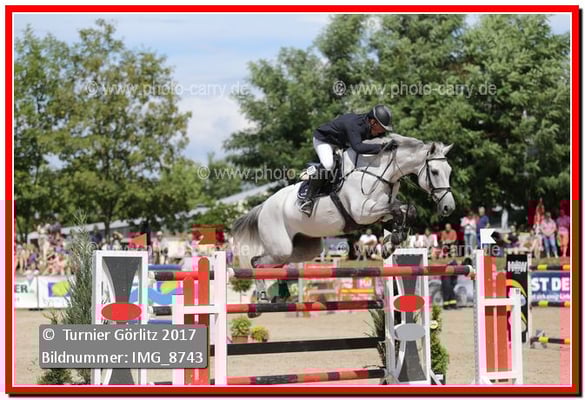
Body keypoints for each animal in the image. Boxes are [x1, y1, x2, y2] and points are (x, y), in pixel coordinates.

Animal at [232, 134, 455, 303]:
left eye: (449, 171)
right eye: (435, 171)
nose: (448, 207)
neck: (379, 172)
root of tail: (263, 207)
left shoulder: (379, 210)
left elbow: (407, 210)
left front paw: (391, 242)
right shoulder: (362, 212)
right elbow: (397, 210)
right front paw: (390, 242)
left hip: (304, 248)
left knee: (276, 264)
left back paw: (280, 295)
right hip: (281, 246)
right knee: (256, 262)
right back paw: (263, 297)